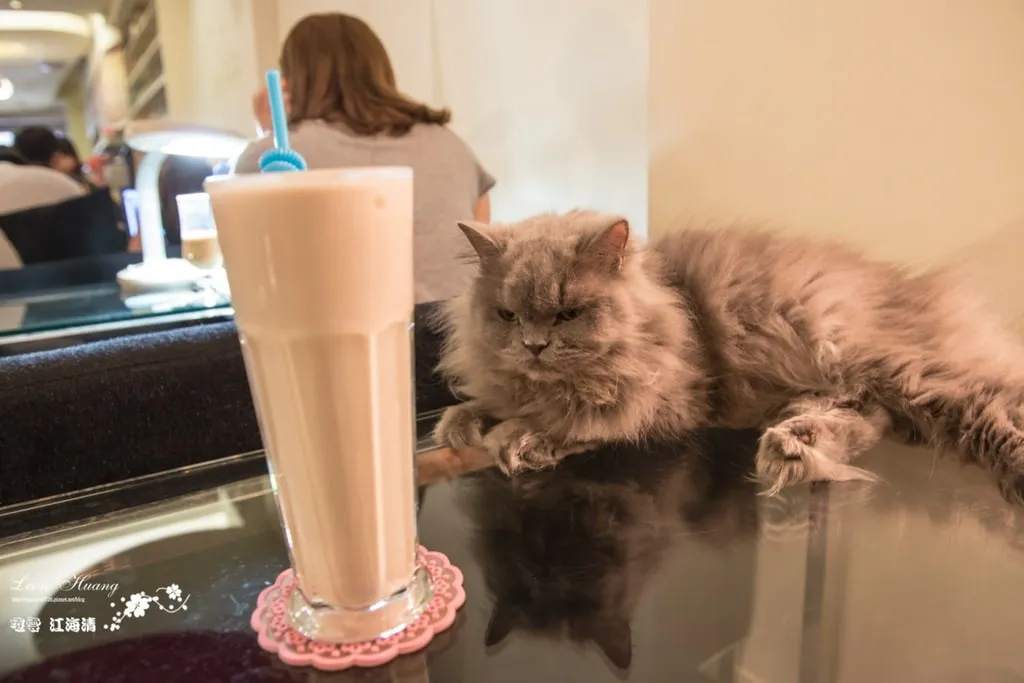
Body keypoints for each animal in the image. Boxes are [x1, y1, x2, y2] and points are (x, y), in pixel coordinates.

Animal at [433, 210, 1024, 504]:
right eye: (508, 315)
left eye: (568, 314)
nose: (534, 345)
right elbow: (493, 402)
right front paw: (463, 422)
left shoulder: (667, 400)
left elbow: (579, 415)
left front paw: (516, 437)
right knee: (862, 419)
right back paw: (793, 447)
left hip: (898, 368)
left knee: (988, 402)